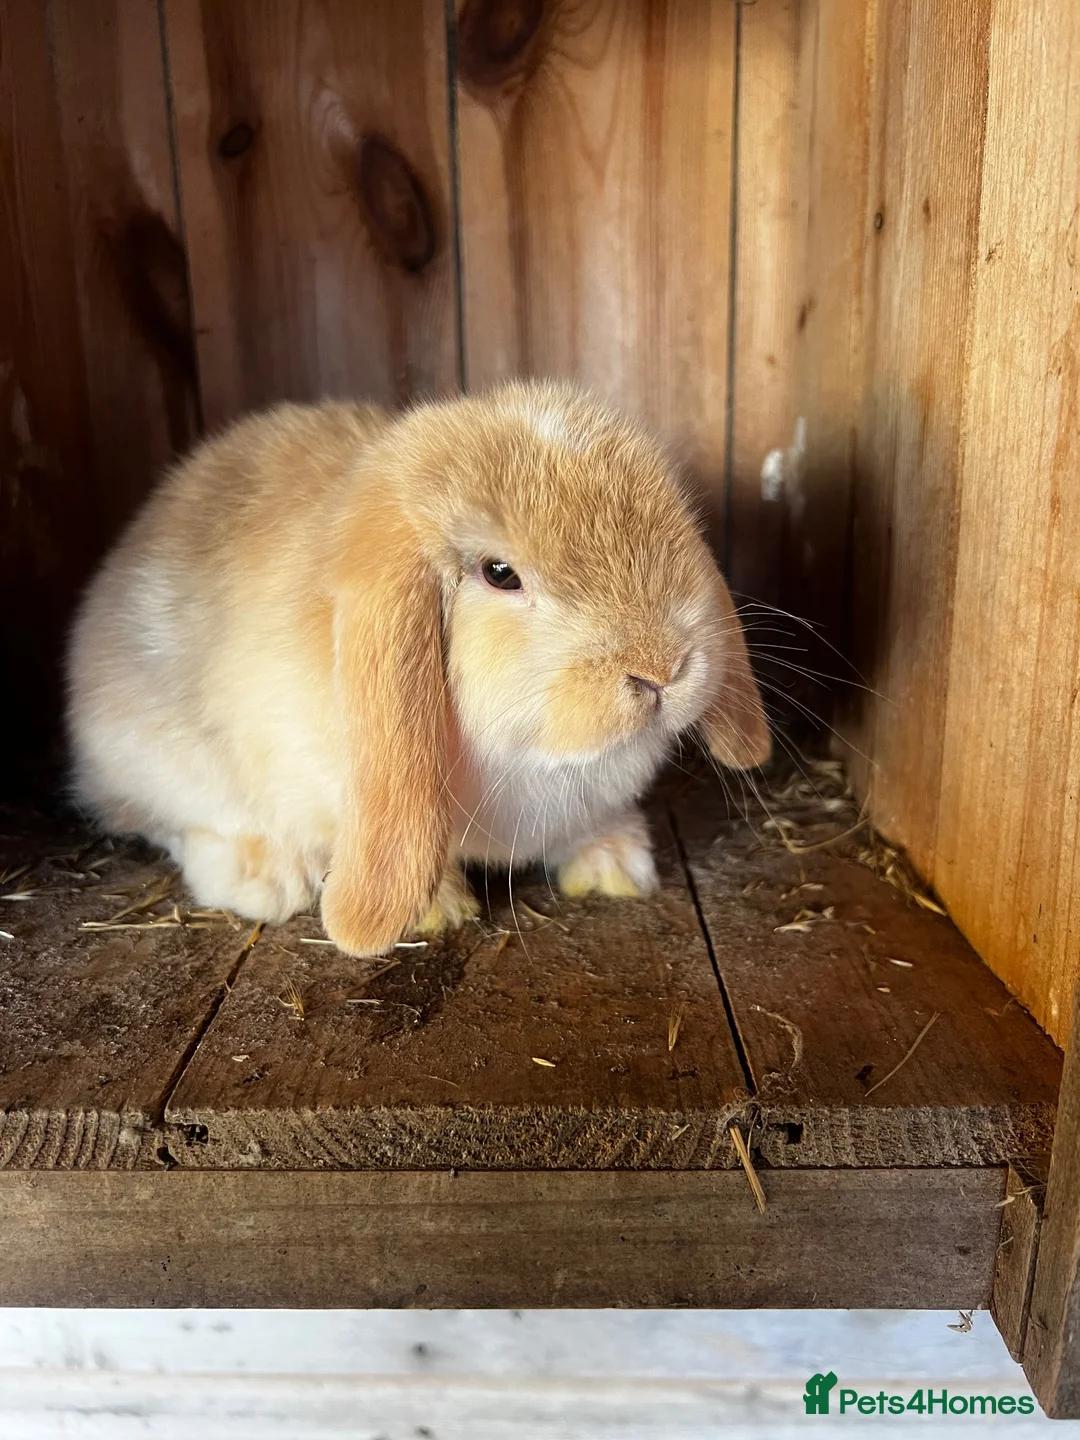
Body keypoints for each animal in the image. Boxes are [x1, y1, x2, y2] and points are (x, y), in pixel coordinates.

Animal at [67, 381, 770, 956]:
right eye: (499, 573)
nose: (662, 668)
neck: (536, 762)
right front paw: (437, 910)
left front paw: (614, 868)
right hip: (149, 749)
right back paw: (266, 876)